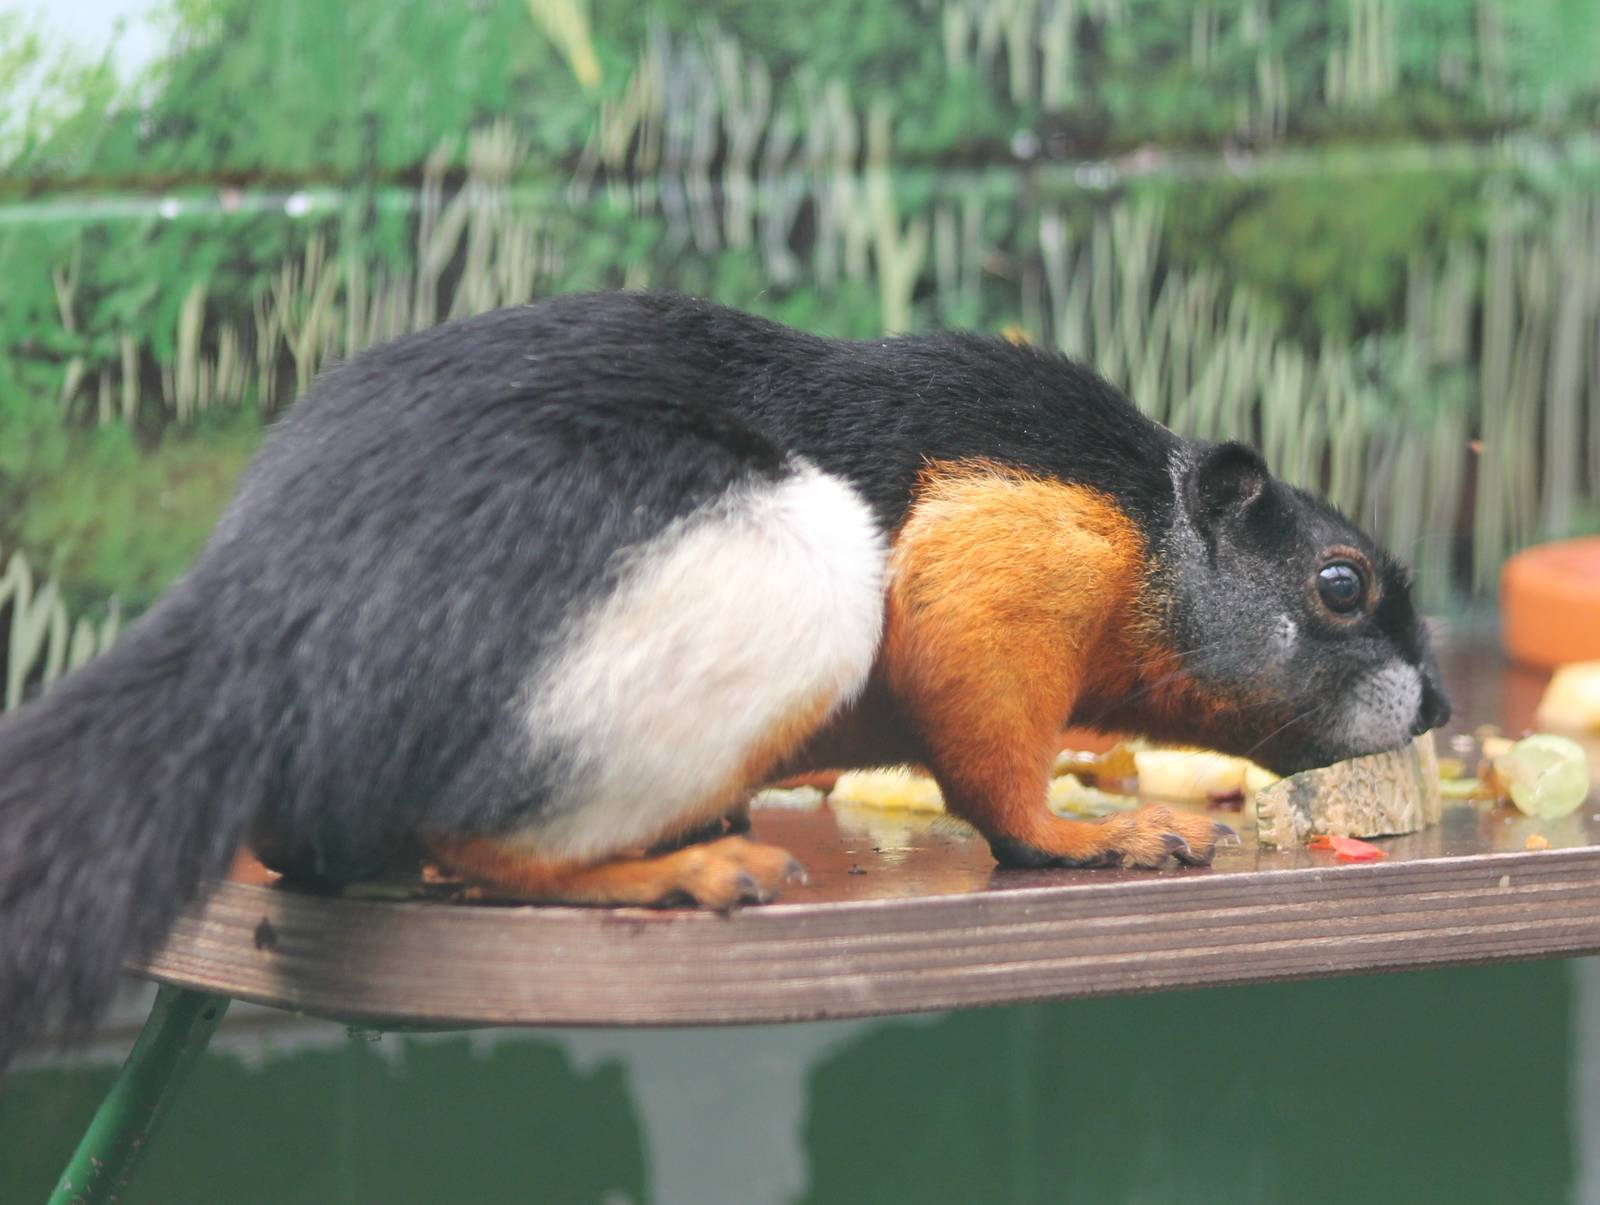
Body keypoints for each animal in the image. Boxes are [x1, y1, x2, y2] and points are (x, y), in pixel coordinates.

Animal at [0, 291, 1449, 1066]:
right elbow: (983, 732)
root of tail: (272, 614)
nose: (1436, 703)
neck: (1149, 528)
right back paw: (665, 868)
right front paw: (1087, 834)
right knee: (474, 834)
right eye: (1339, 585)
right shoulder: (1009, 547)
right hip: (774, 565)